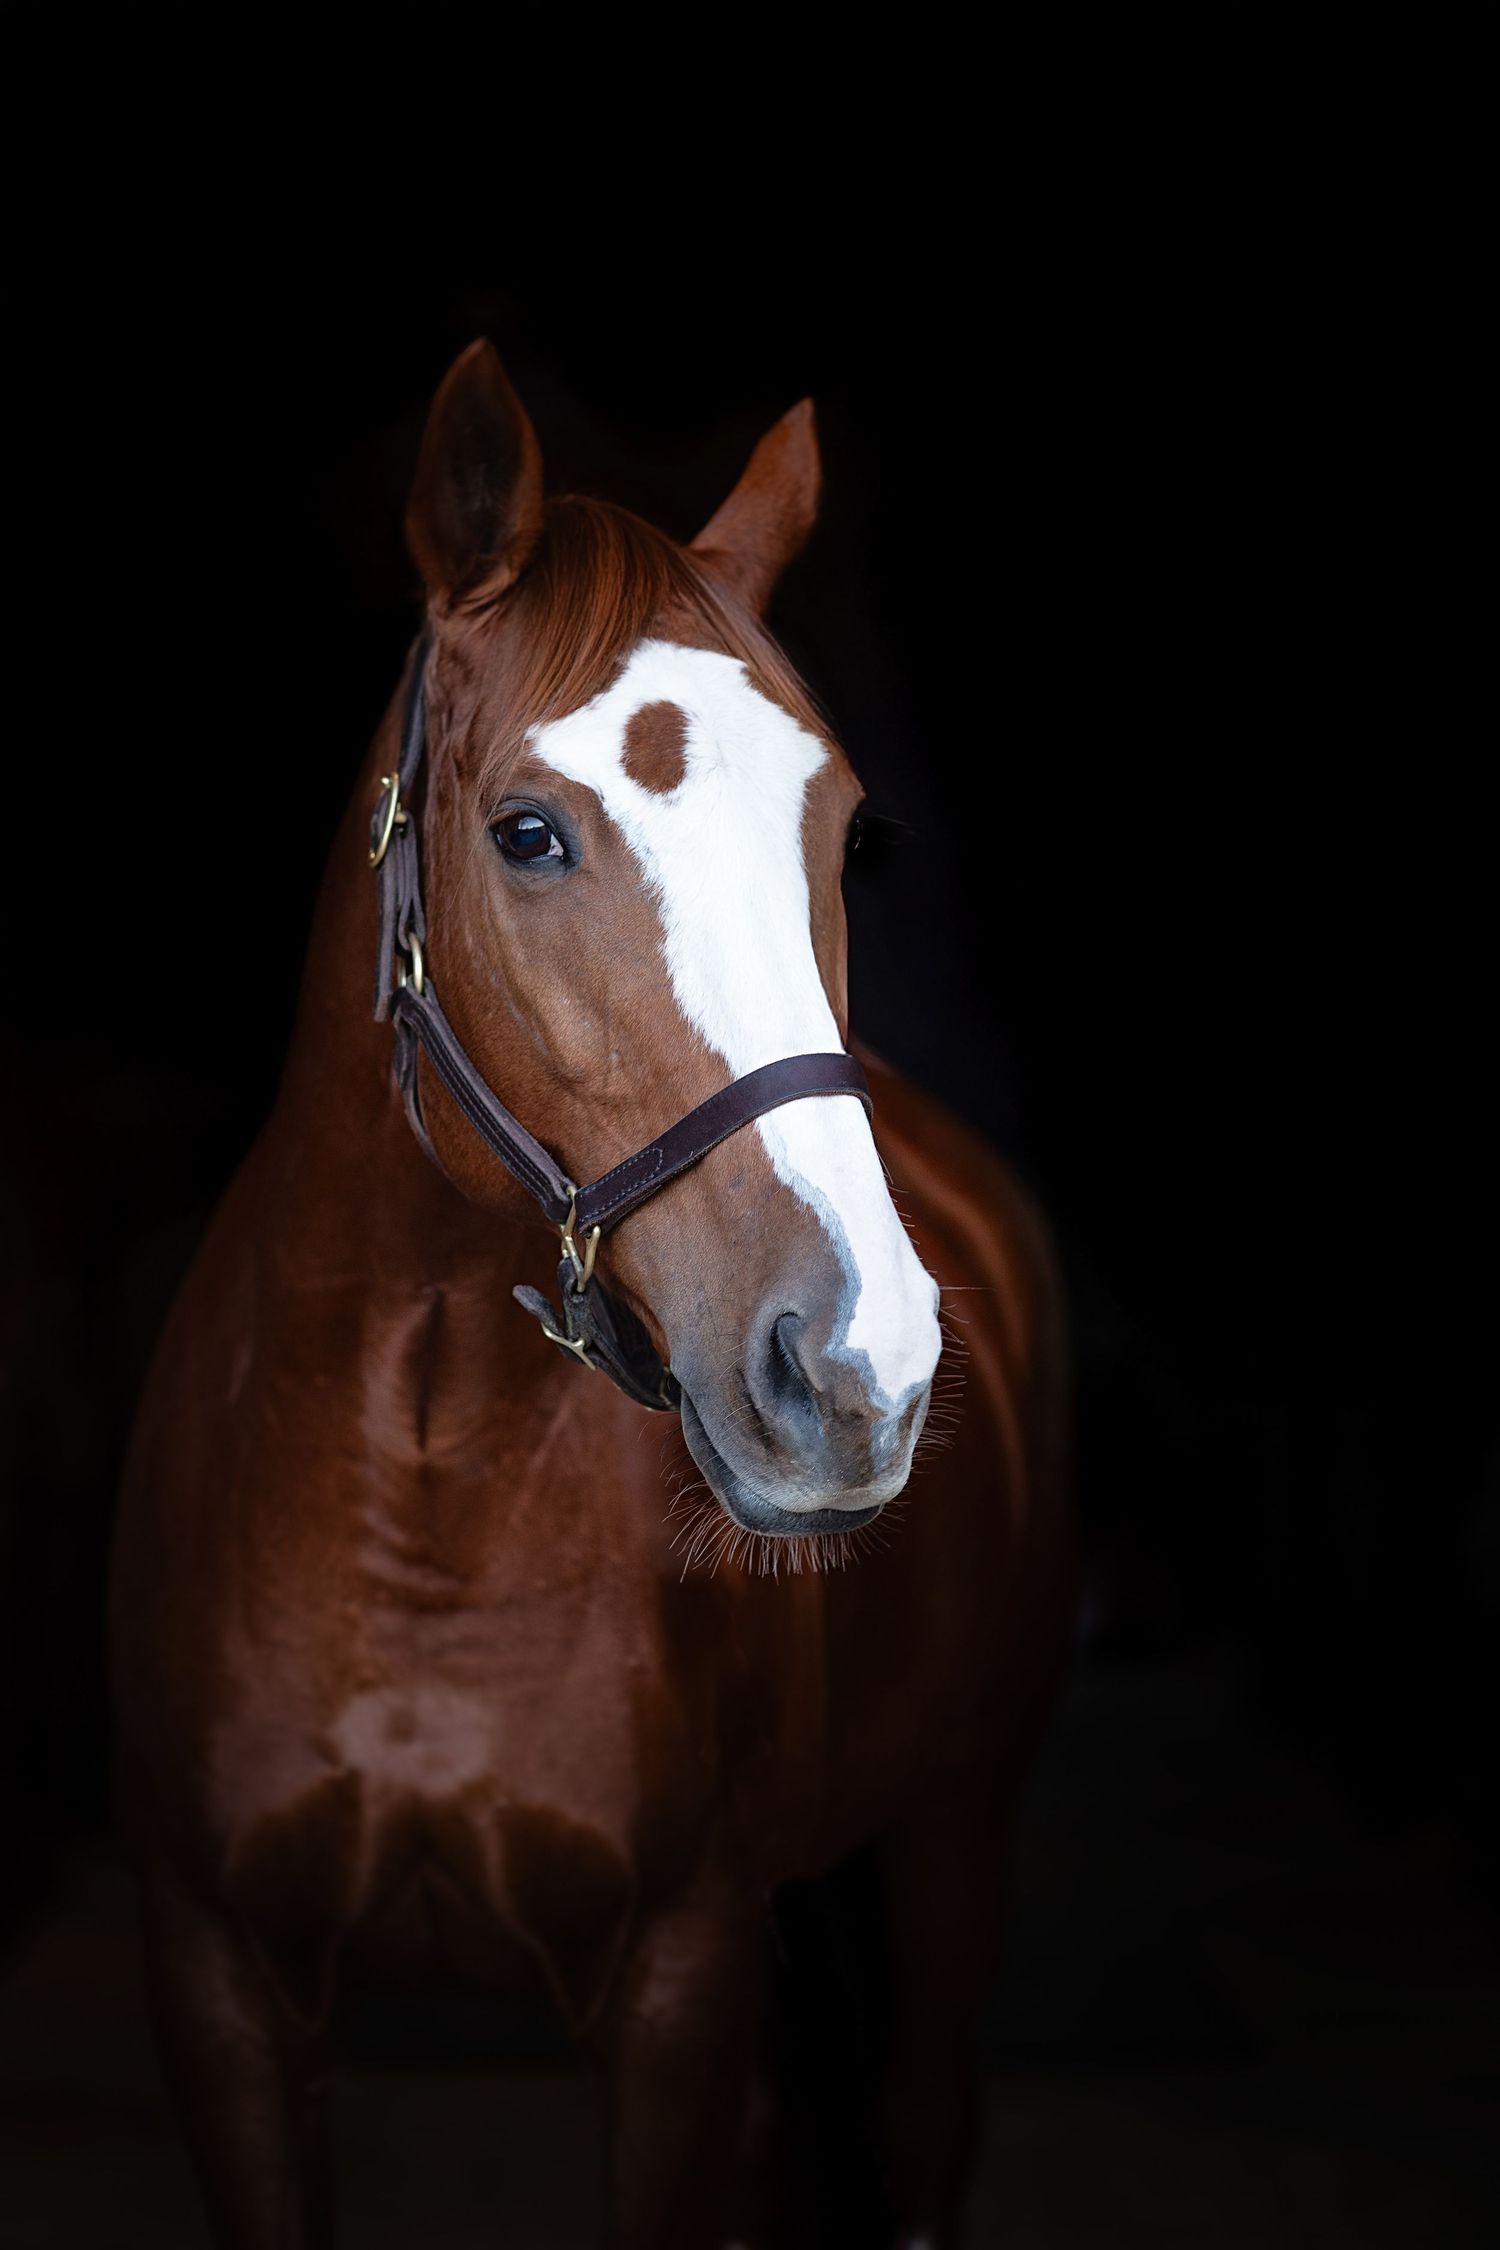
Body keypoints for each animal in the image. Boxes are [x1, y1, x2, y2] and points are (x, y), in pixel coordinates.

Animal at [109, 340, 1075, 2250]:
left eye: (847, 832)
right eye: (529, 833)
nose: (856, 1370)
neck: (419, 1500)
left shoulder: (678, 1983)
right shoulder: (217, 1986)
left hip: (957, 1823)